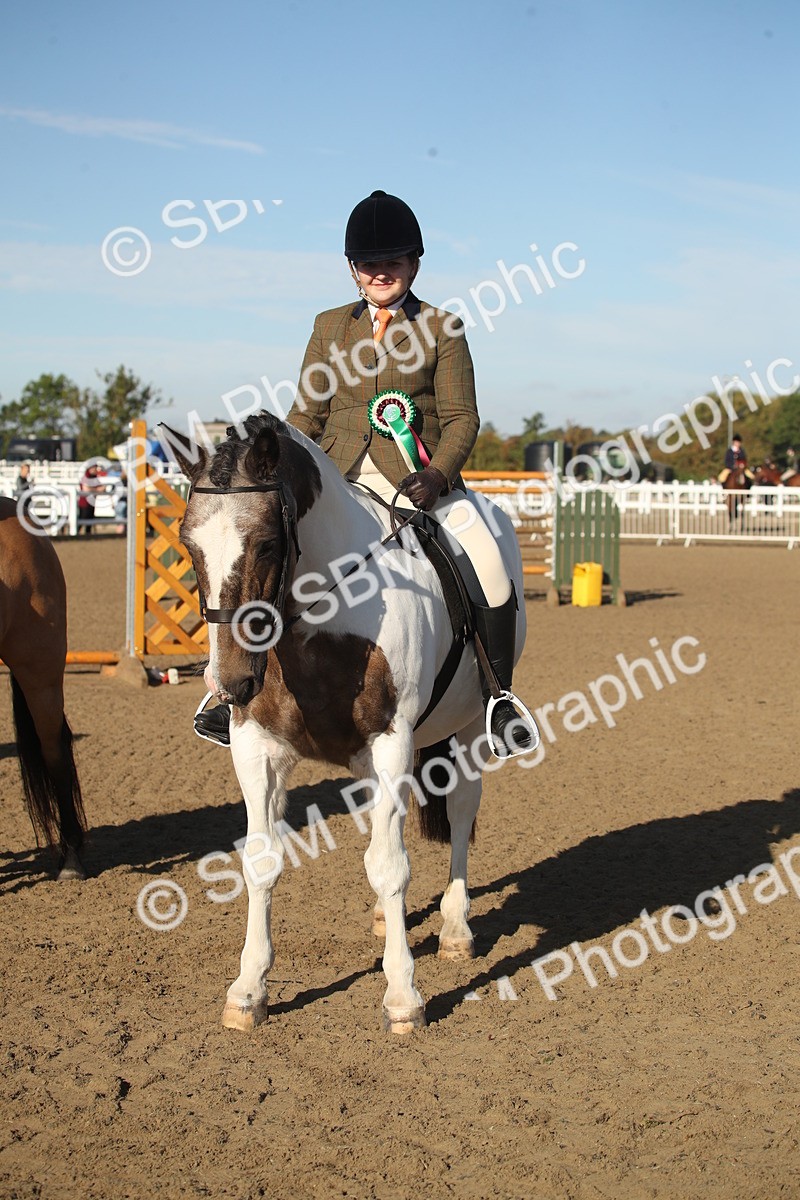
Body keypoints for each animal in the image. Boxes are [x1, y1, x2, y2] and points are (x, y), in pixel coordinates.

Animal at [165, 412, 530, 1034]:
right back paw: (389, 922)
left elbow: (389, 865)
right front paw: (248, 991)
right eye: (190, 546)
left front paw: (403, 996)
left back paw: (456, 930)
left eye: (267, 542)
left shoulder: (391, 744)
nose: (231, 684)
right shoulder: (255, 746)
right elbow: (262, 861)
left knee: (460, 812)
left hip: (467, 728)